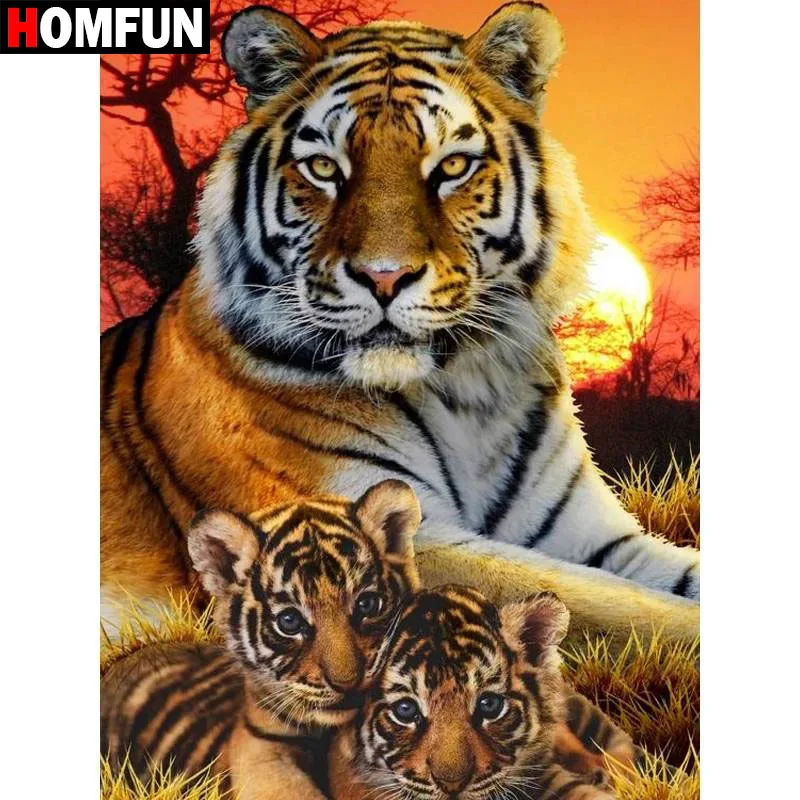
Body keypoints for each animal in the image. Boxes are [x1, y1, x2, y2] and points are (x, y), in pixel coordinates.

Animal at [100, 2, 699, 645]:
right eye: (323, 168)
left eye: (453, 166)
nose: (384, 277)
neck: (468, 393)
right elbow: (621, 608)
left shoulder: (593, 535)